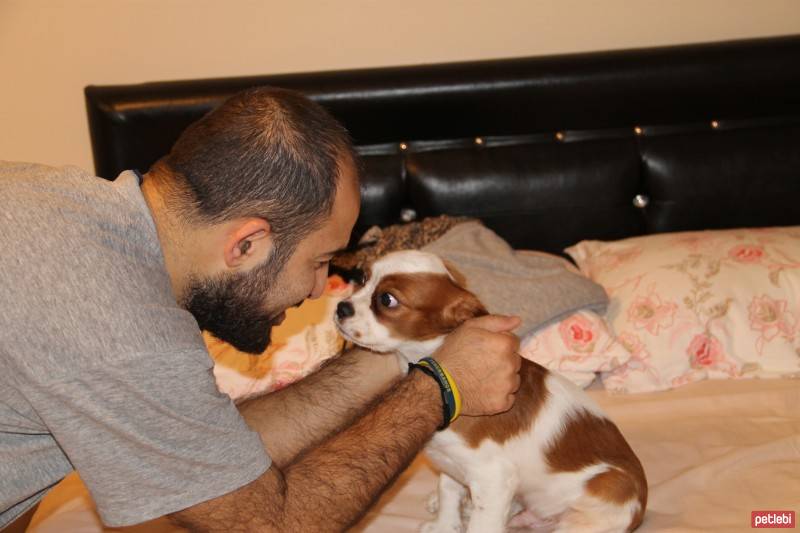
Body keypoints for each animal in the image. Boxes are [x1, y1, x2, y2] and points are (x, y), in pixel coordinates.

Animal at [334, 250, 648, 532]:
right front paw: (444, 525)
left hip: (604, 492)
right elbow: (448, 491)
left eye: (387, 300)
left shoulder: (494, 478)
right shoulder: (451, 463)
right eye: (362, 279)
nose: (340, 307)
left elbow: (481, 523)